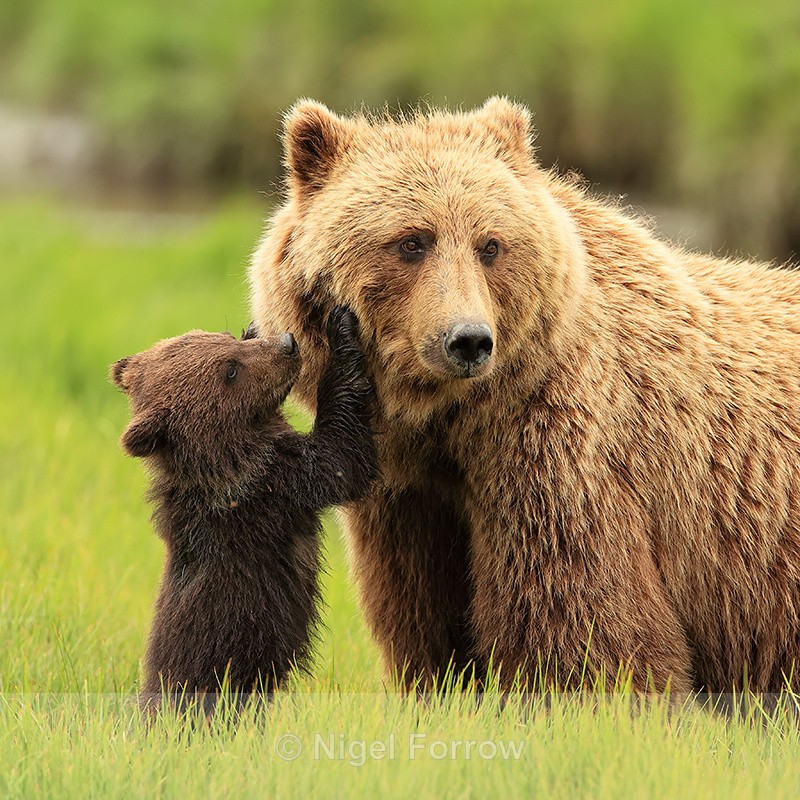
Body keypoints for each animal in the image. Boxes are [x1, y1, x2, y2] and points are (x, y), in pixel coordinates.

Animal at [111, 307, 377, 706]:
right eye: (231, 370)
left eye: (226, 338)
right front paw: (342, 332)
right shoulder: (272, 486)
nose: (287, 344)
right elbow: (340, 457)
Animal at [249, 96, 800, 695]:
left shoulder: (557, 450)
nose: (467, 340)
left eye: (490, 244)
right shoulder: (409, 498)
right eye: (412, 241)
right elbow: (423, 618)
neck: (451, 420)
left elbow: (580, 619)